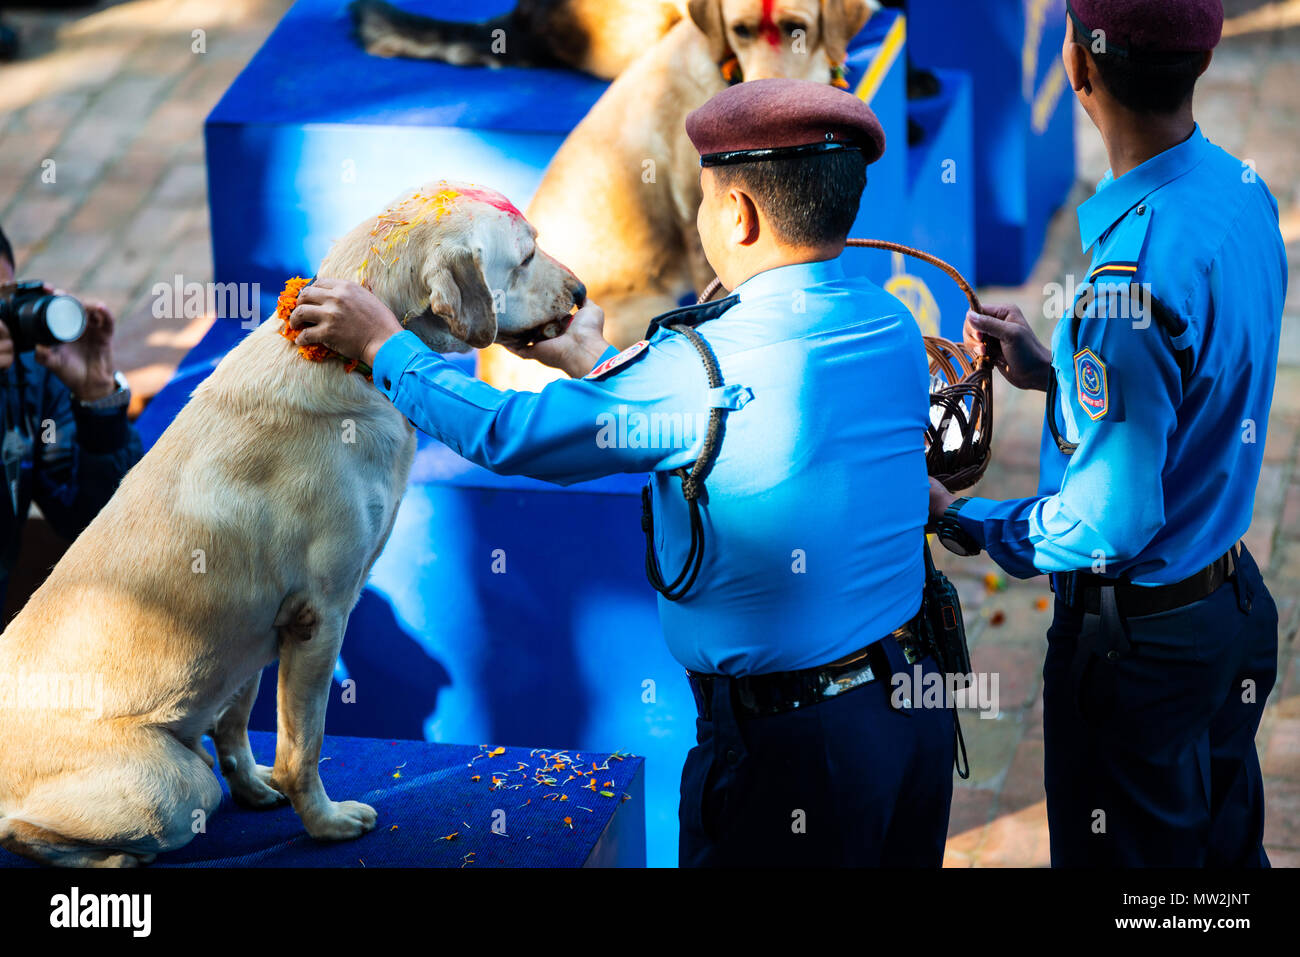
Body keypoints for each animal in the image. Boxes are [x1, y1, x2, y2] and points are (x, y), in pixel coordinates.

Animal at [0, 180, 585, 868]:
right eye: (525, 257)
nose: (581, 293)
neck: (340, 361)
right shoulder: (320, 618)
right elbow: (302, 747)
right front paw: (325, 824)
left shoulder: (262, 635)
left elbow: (237, 723)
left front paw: (255, 789)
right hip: (173, 785)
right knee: (24, 829)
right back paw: (114, 856)